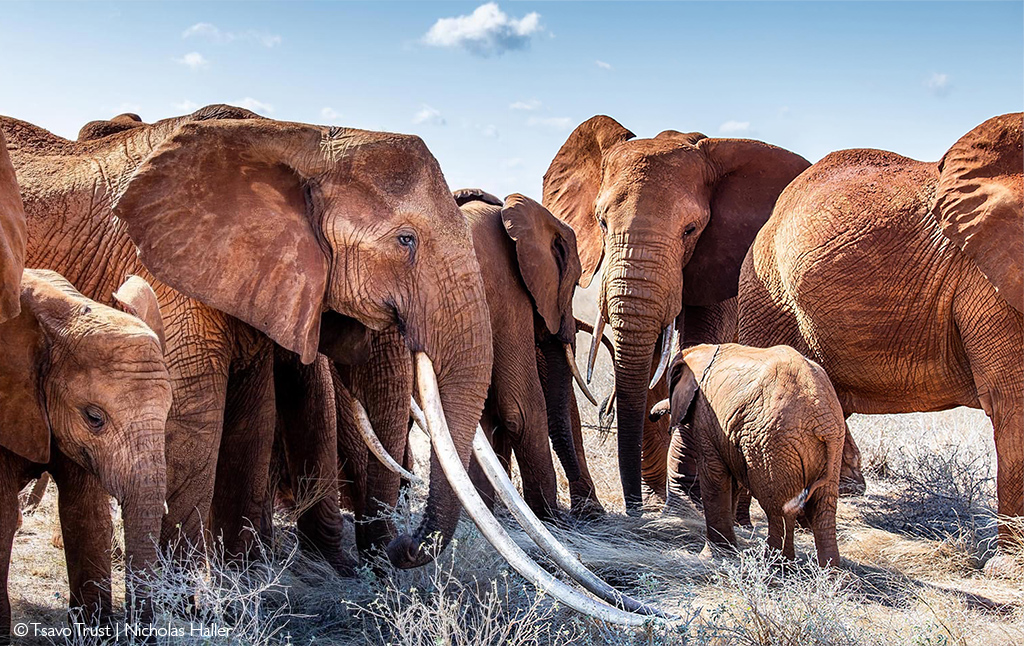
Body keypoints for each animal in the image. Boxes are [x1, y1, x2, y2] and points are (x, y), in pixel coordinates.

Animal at [0, 103, 493, 573]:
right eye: (406, 240)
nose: (400, 548)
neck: (301, 138)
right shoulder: (167, 275)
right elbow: (194, 419)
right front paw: (184, 594)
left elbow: (253, 417)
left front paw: (246, 582)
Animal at [544, 113, 806, 513]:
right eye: (601, 222)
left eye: (691, 230)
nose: (632, 507)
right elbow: (649, 360)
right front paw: (654, 499)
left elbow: (699, 348)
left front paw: (684, 498)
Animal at [659, 343, 843, 565]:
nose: (654, 416)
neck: (703, 351)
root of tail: (821, 418)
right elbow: (733, 484)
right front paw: (728, 552)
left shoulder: (706, 417)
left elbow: (713, 476)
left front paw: (712, 557)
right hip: (832, 447)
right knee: (823, 509)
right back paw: (829, 572)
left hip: (770, 445)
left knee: (778, 508)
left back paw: (775, 566)